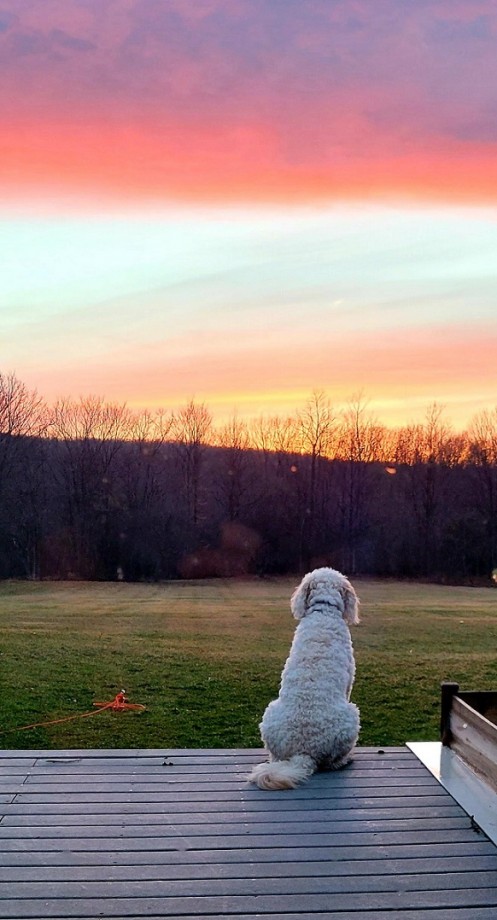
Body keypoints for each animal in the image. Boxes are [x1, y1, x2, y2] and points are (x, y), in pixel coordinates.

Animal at [248, 567, 360, 790]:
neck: (323, 610)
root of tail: (303, 752)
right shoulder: (349, 682)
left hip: (269, 716)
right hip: (351, 717)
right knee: (332, 762)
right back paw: (344, 760)